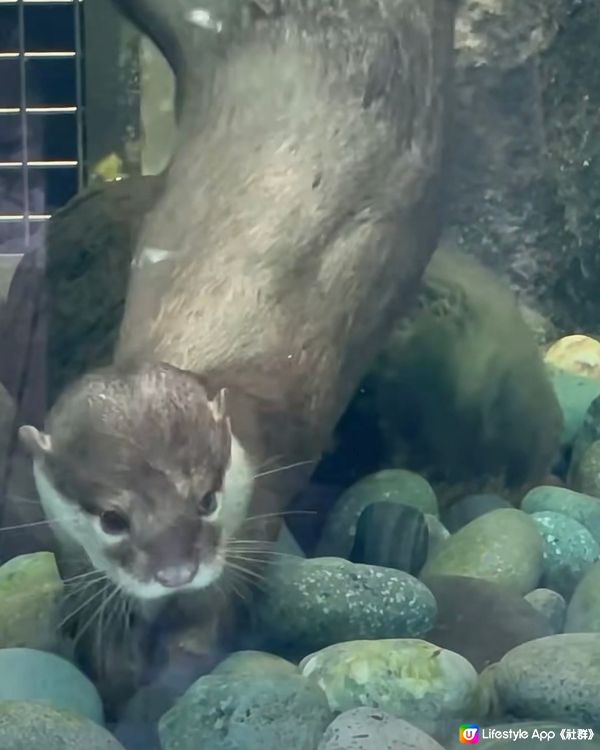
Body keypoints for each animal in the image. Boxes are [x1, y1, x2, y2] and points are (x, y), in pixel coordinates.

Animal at [15, 0, 454, 700]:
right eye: (112, 518)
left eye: (207, 500)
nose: (174, 570)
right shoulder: (68, 543)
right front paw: (114, 668)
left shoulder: (260, 499)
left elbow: (216, 613)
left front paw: (175, 672)